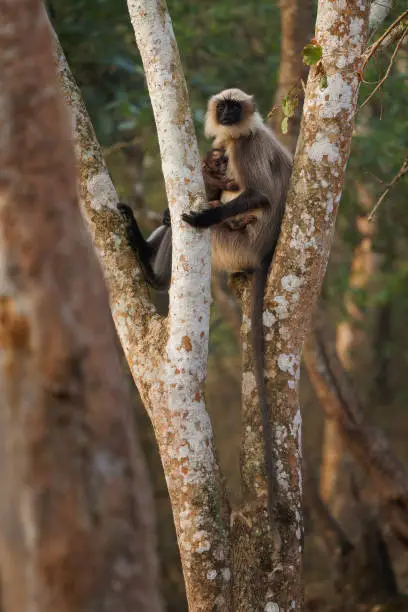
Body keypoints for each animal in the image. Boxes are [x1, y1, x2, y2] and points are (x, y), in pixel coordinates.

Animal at [118, 88, 294, 524]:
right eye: (223, 106)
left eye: (235, 107)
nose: (228, 113)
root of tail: (261, 256)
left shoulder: (243, 147)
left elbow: (257, 194)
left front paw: (203, 214)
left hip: (232, 247)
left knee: (199, 230)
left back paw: (156, 272)